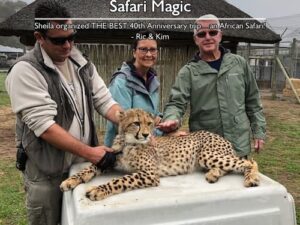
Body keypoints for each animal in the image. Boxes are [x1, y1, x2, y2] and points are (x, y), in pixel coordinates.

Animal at [59, 108, 258, 200]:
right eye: (136, 123)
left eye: (149, 123)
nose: (147, 134)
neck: (129, 142)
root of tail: (220, 136)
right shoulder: (110, 159)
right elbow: (90, 168)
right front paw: (71, 180)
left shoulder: (150, 174)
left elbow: (120, 180)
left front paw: (98, 190)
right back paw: (213, 174)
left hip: (206, 155)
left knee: (249, 162)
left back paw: (251, 179)